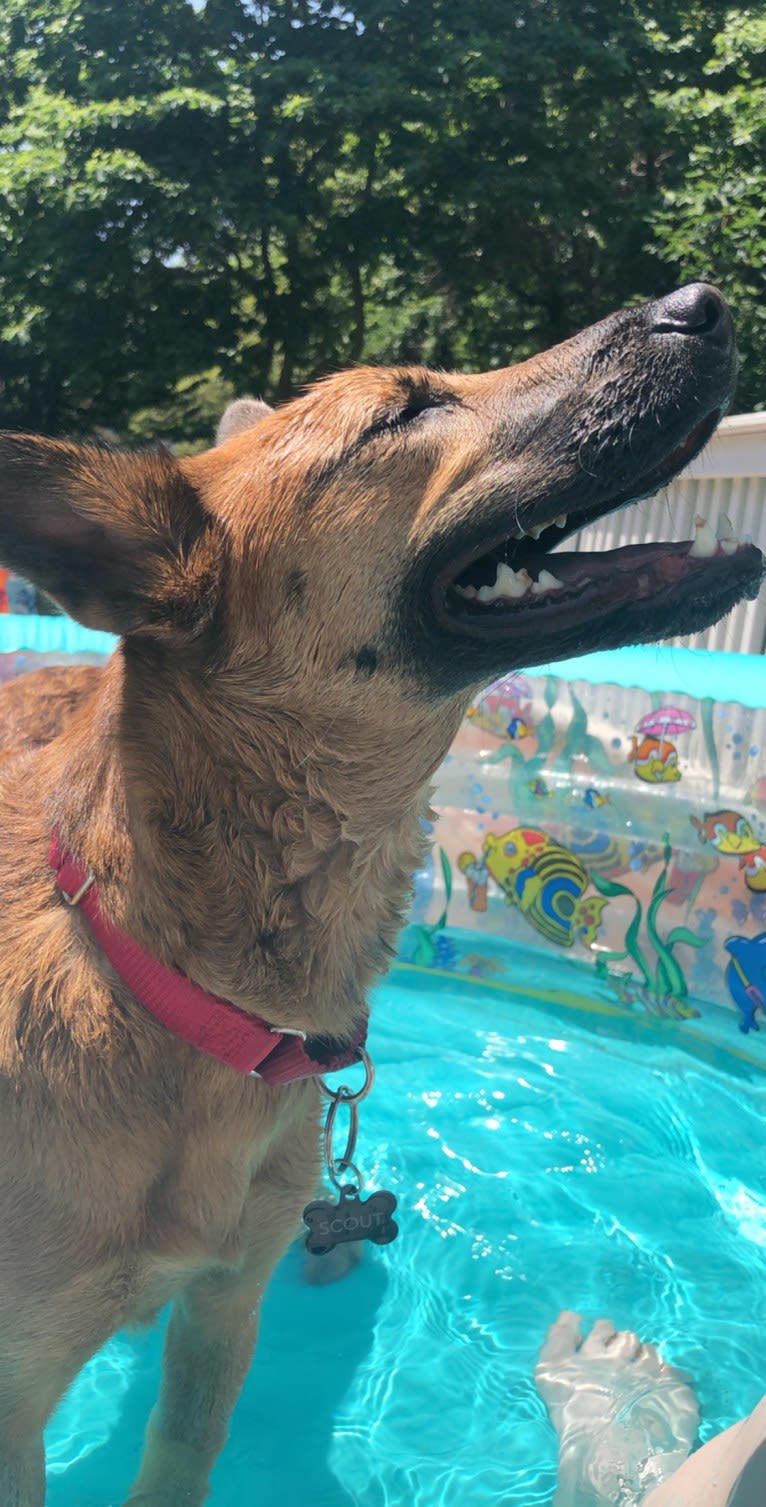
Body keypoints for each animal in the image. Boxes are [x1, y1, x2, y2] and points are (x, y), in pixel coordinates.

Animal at [0, 284, 759, 1507]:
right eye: (404, 412)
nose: (702, 300)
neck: (161, 970)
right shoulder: (17, 1401)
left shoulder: (222, 1313)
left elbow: (180, 1453)